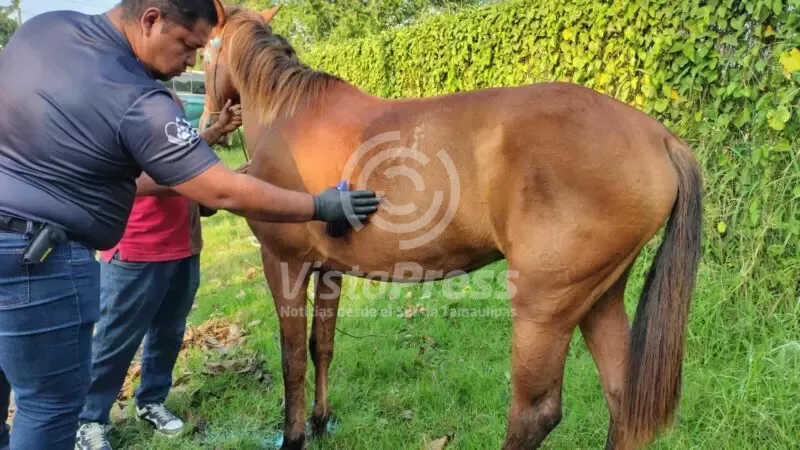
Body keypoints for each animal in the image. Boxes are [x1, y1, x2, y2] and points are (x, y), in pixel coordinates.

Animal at [201, 2, 703, 449]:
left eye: (205, 53)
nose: (210, 120)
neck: (291, 116)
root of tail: (659, 137)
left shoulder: (283, 264)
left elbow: (291, 362)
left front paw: (295, 436)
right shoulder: (328, 270)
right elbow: (320, 347)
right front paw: (322, 422)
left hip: (546, 307)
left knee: (534, 415)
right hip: (600, 297)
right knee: (622, 398)